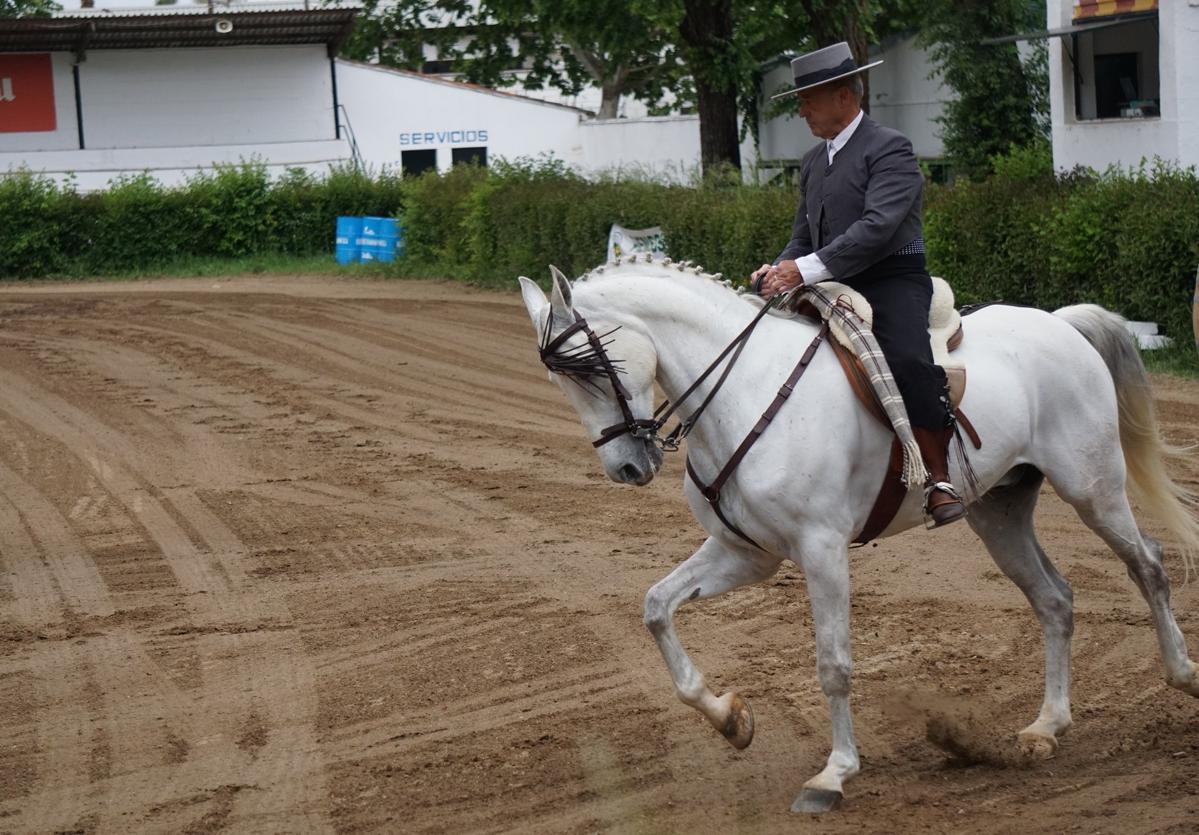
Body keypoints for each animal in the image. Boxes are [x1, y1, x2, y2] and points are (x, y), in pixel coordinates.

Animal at [515, 261, 1199, 815]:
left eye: (593, 369)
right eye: (561, 381)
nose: (627, 468)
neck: (748, 391)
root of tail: (1059, 324)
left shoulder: (820, 550)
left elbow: (833, 664)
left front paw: (835, 774)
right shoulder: (746, 554)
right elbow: (657, 607)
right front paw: (731, 719)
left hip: (1093, 488)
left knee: (1148, 565)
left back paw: (1182, 674)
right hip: (1000, 513)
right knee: (1055, 599)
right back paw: (1047, 726)